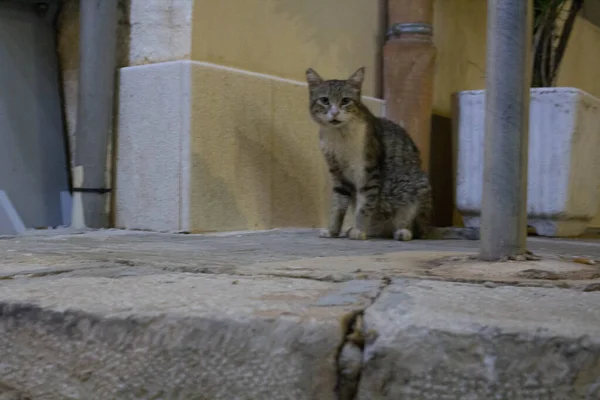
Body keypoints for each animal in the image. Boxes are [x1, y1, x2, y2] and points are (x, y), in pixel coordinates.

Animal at [304, 67, 478, 241]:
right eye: (325, 100)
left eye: (345, 100)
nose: (334, 112)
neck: (339, 135)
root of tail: (428, 226)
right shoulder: (338, 174)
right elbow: (337, 207)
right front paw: (332, 230)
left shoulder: (369, 171)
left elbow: (364, 206)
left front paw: (359, 230)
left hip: (417, 189)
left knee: (415, 229)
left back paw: (402, 232)